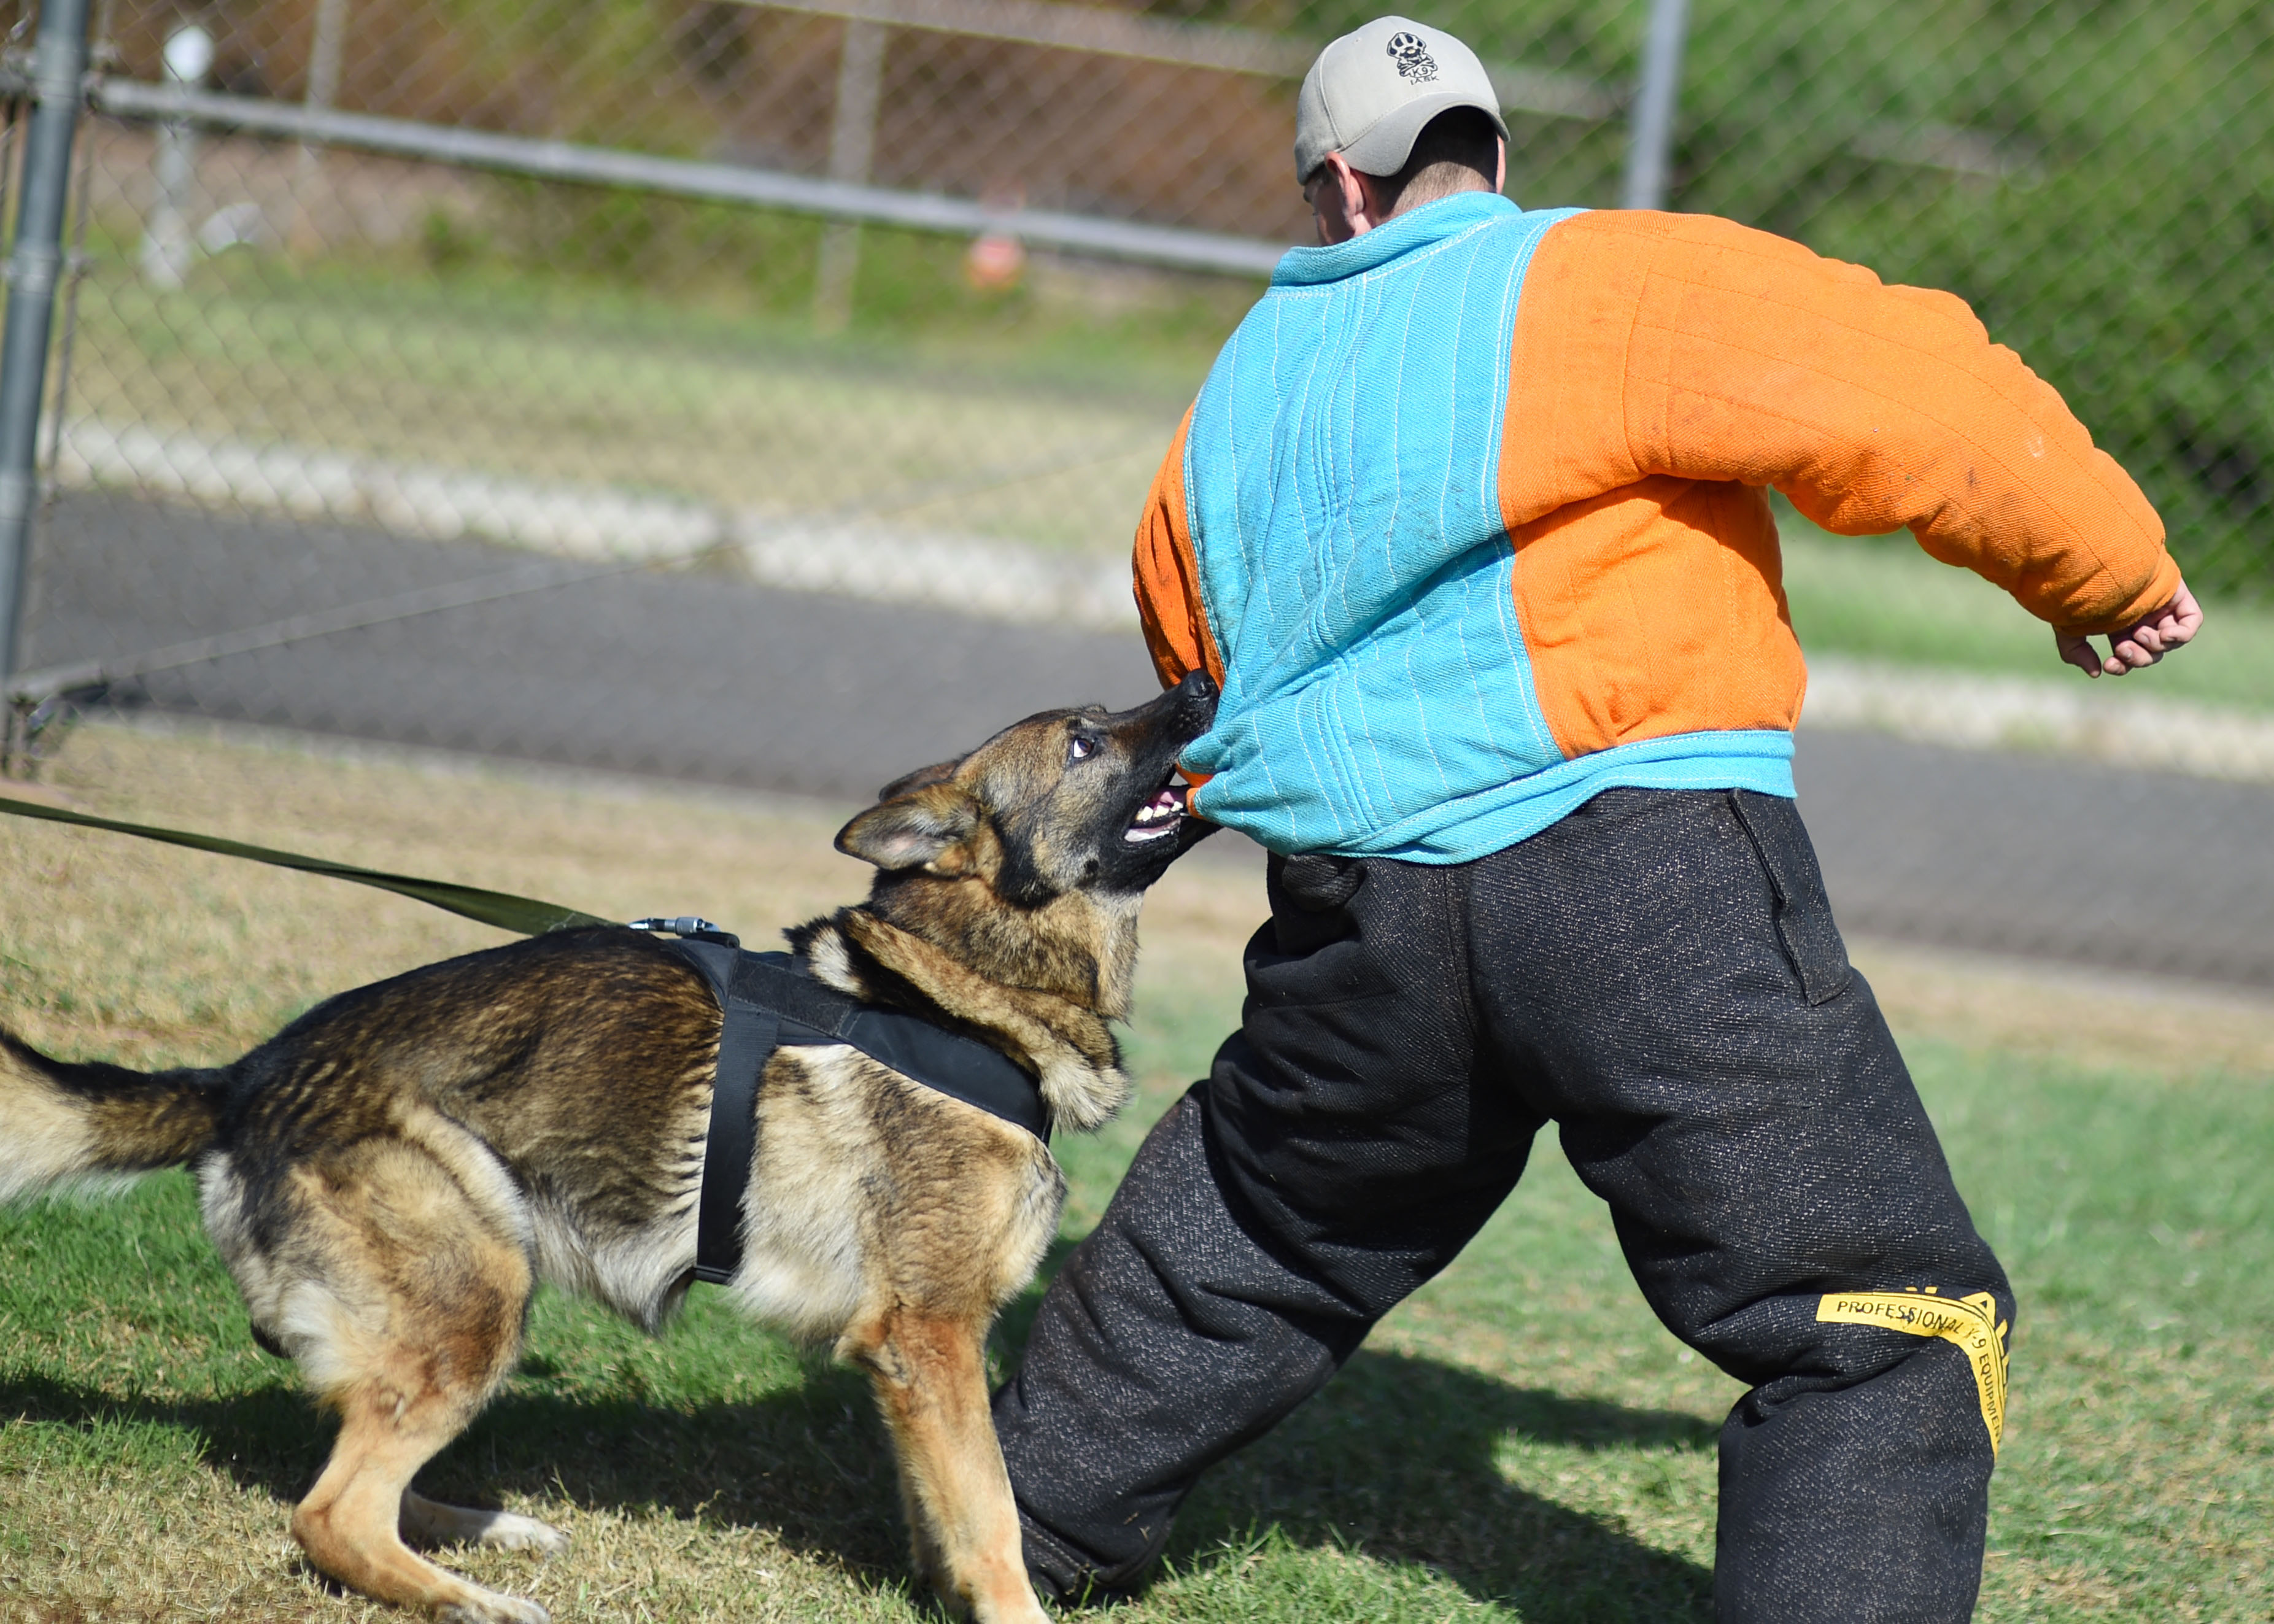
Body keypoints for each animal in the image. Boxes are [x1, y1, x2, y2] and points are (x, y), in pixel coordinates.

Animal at [0, 664, 1218, 1610]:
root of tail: (243, 1078)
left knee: (362, 1473)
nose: (1208, 683)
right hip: (480, 1292)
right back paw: (471, 1599)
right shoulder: (930, 1336)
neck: (963, 991)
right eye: (1084, 737)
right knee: (331, 1514)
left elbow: (950, 1507)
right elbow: (994, 1516)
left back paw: (482, 1528)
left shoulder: (911, 1361)